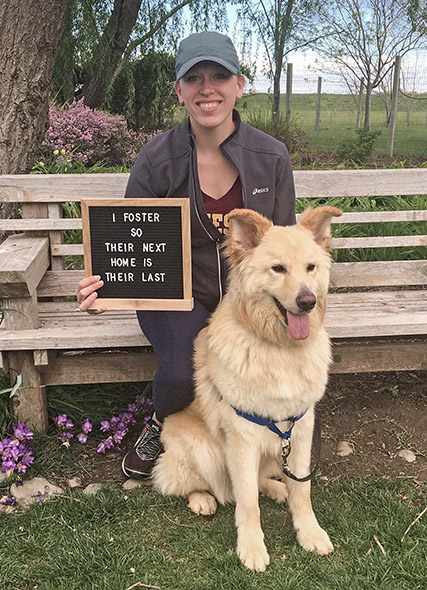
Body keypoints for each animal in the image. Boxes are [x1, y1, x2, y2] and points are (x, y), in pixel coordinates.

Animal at [152, 207, 342, 572]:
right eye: (278, 268)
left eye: (311, 267)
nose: (307, 301)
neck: (280, 349)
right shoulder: (242, 438)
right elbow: (247, 501)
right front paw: (252, 547)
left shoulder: (299, 430)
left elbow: (303, 491)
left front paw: (309, 533)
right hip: (202, 451)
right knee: (189, 483)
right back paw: (202, 499)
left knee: (261, 480)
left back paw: (276, 488)